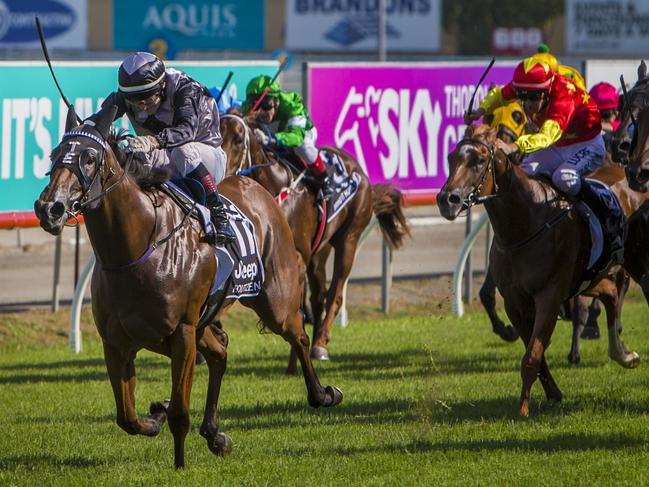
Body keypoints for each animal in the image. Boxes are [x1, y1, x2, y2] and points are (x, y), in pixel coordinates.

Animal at [33, 106, 342, 468]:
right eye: (55, 154)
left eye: (89, 158)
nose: (49, 208)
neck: (136, 248)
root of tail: (253, 184)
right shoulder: (117, 343)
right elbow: (127, 418)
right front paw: (156, 415)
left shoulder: (181, 333)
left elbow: (180, 413)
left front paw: (179, 465)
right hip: (203, 323)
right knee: (220, 351)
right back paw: (214, 432)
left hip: (275, 300)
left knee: (298, 335)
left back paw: (322, 393)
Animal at [220, 113, 408, 366]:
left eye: (239, 139)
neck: (275, 189)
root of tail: (357, 168)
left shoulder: (297, 257)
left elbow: (297, 306)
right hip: (320, 252)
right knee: (319, 296)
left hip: (348, 240)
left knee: (334, 294)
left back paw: (320, 344)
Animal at [438, 124, 640, 418]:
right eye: (451, 157)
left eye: (478, 160)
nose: (447, 199)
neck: (525, 225)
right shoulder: (515, 301)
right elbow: (535, 350)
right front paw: (552, 393)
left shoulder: (550, 295)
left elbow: (532, 354)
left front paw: (523, 409)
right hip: (591, 277)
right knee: (612, 295)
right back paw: (624, 355)